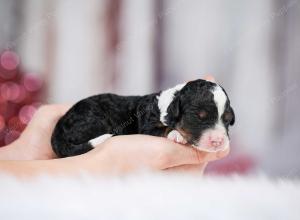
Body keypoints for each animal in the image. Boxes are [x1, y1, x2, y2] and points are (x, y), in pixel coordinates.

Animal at [51, 79, 234, 158]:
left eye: (227, 119)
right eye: (199, 117)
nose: (219, 141)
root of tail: (59, 125)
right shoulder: (148, 126)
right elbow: (164, 128)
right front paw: (176, 134)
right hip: (94, 120)